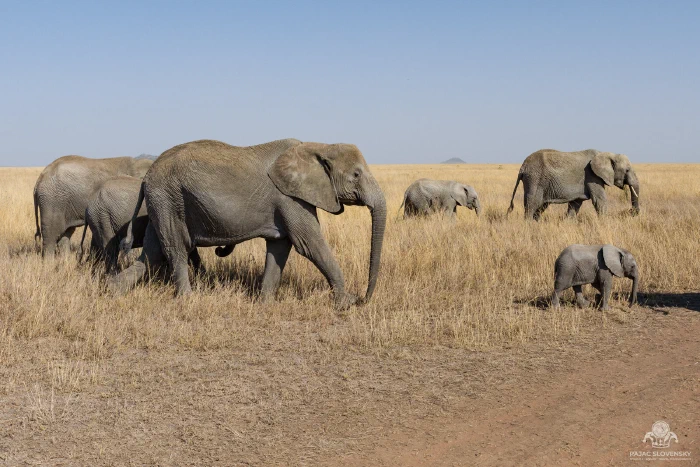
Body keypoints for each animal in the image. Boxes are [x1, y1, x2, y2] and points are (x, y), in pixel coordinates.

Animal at [108, 138, 386, 308]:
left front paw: (266, 303)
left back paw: (113, 291)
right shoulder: (290, 198)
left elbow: (279, 247)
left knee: (151, 254)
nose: (363, 298)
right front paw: (344, 304)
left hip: (163, 201)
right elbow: (310, 244)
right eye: (356, 175)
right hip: (168, 197)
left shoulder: (287, 201)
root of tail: (146, 177)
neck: (319, 145)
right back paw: (187, 299)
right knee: (175, 249)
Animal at [506, 149, 640, 220]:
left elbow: (575, 204)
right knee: (532, 204)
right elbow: (599, 200)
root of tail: (523, 167)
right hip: (535, 179)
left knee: (540, 207)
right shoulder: (592, 177)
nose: (631, 211)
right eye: (627, 170)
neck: (606, 153)